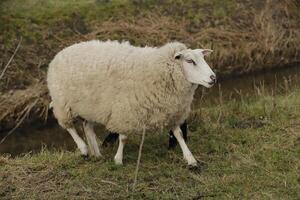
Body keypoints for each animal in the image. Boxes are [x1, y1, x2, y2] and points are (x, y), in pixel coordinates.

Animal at [47, 39, 216, 166]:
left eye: (203, 59)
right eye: (190, 61)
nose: (213, 78)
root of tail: (62, 52)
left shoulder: (171, 110)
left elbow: (179, 134)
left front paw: (190, 159)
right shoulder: (125, 112)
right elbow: (123, 138)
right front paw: (118, 160)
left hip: (90, 106)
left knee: (87, 127)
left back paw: (97, 154)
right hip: (63, 103)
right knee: (69, 126)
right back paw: (83, 149)